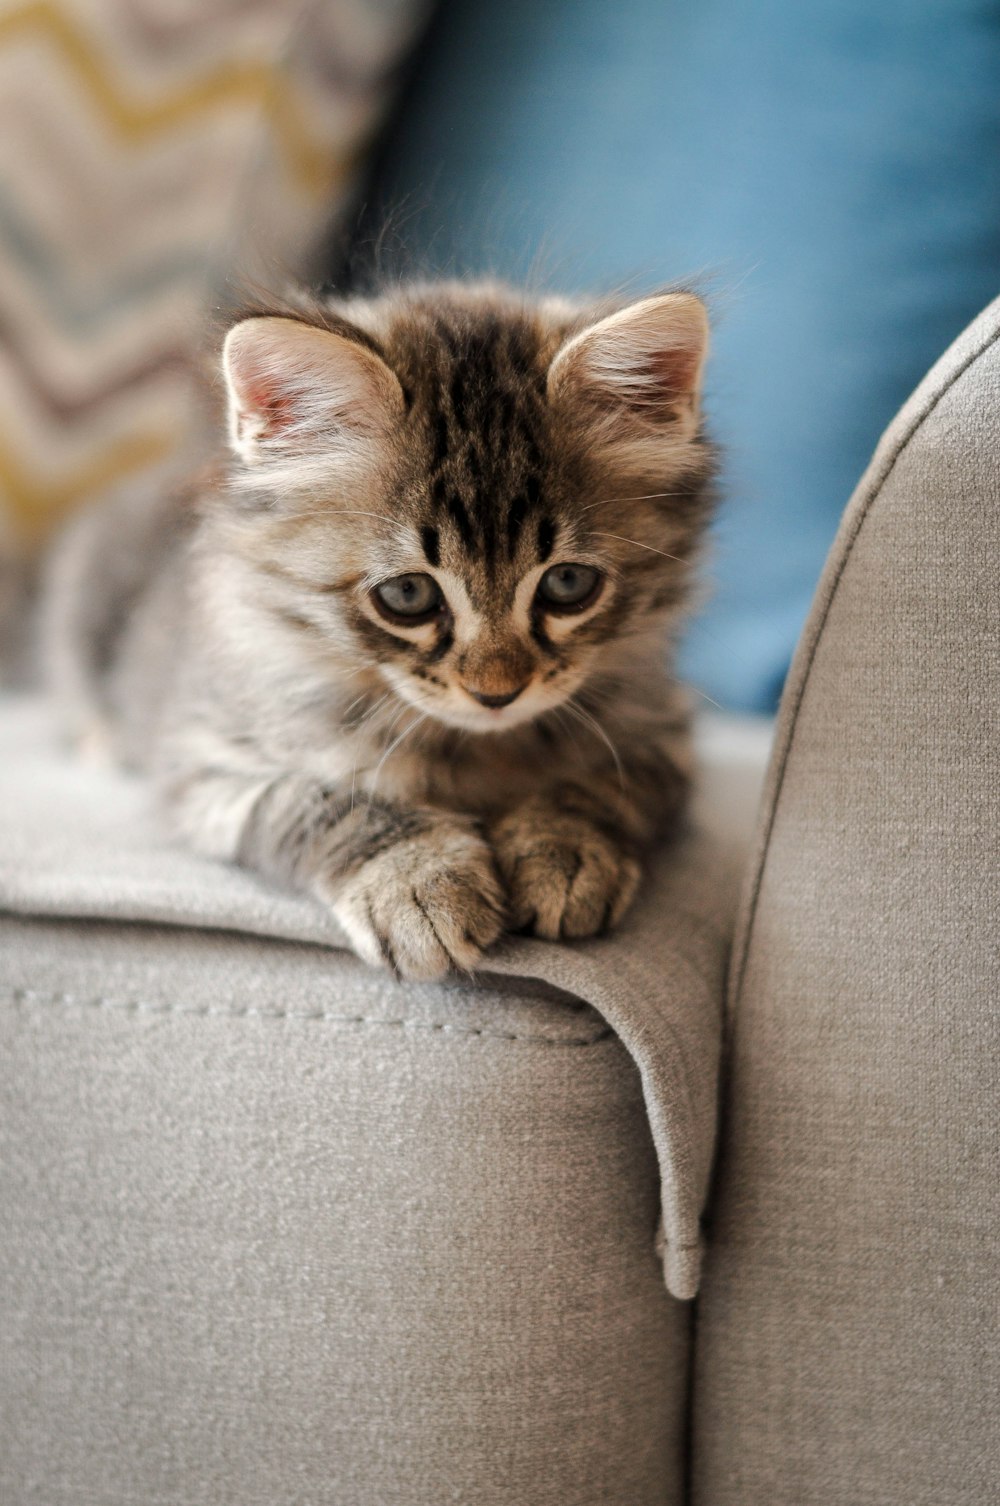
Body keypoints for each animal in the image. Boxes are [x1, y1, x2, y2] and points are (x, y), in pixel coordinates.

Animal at [41, 283, 710, 981]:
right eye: (408, 596)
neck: (474, 747)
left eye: (568, 584)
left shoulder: (662, 730)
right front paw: (415, 882)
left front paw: (565, 852)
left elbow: (599, 788)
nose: (497, 693)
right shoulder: (206, 763)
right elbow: (324, 800)